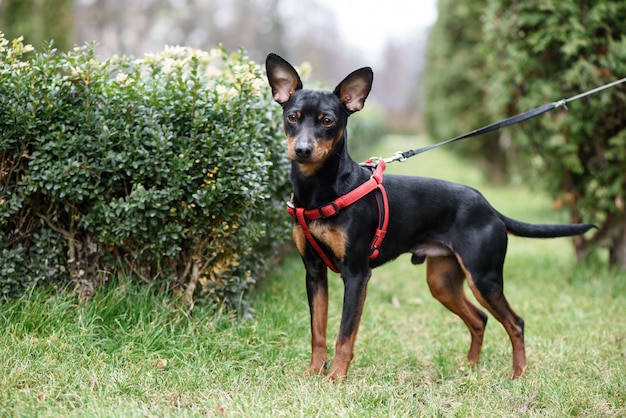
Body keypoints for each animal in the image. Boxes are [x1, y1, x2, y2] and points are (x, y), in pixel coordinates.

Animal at [264, 52, 596, 378]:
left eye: (327, 121)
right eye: (292, 117)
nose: (303, 150)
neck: (321, 189)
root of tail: (488, 207)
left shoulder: (357, 274)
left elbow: (345, 334)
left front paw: (335, 378)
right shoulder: (314, 272)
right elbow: (318, 330)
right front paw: (314, 372)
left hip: (483, 278)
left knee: (515, 322)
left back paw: (518, 373)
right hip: (443, 282)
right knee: (480, 318)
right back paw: (470, 366)